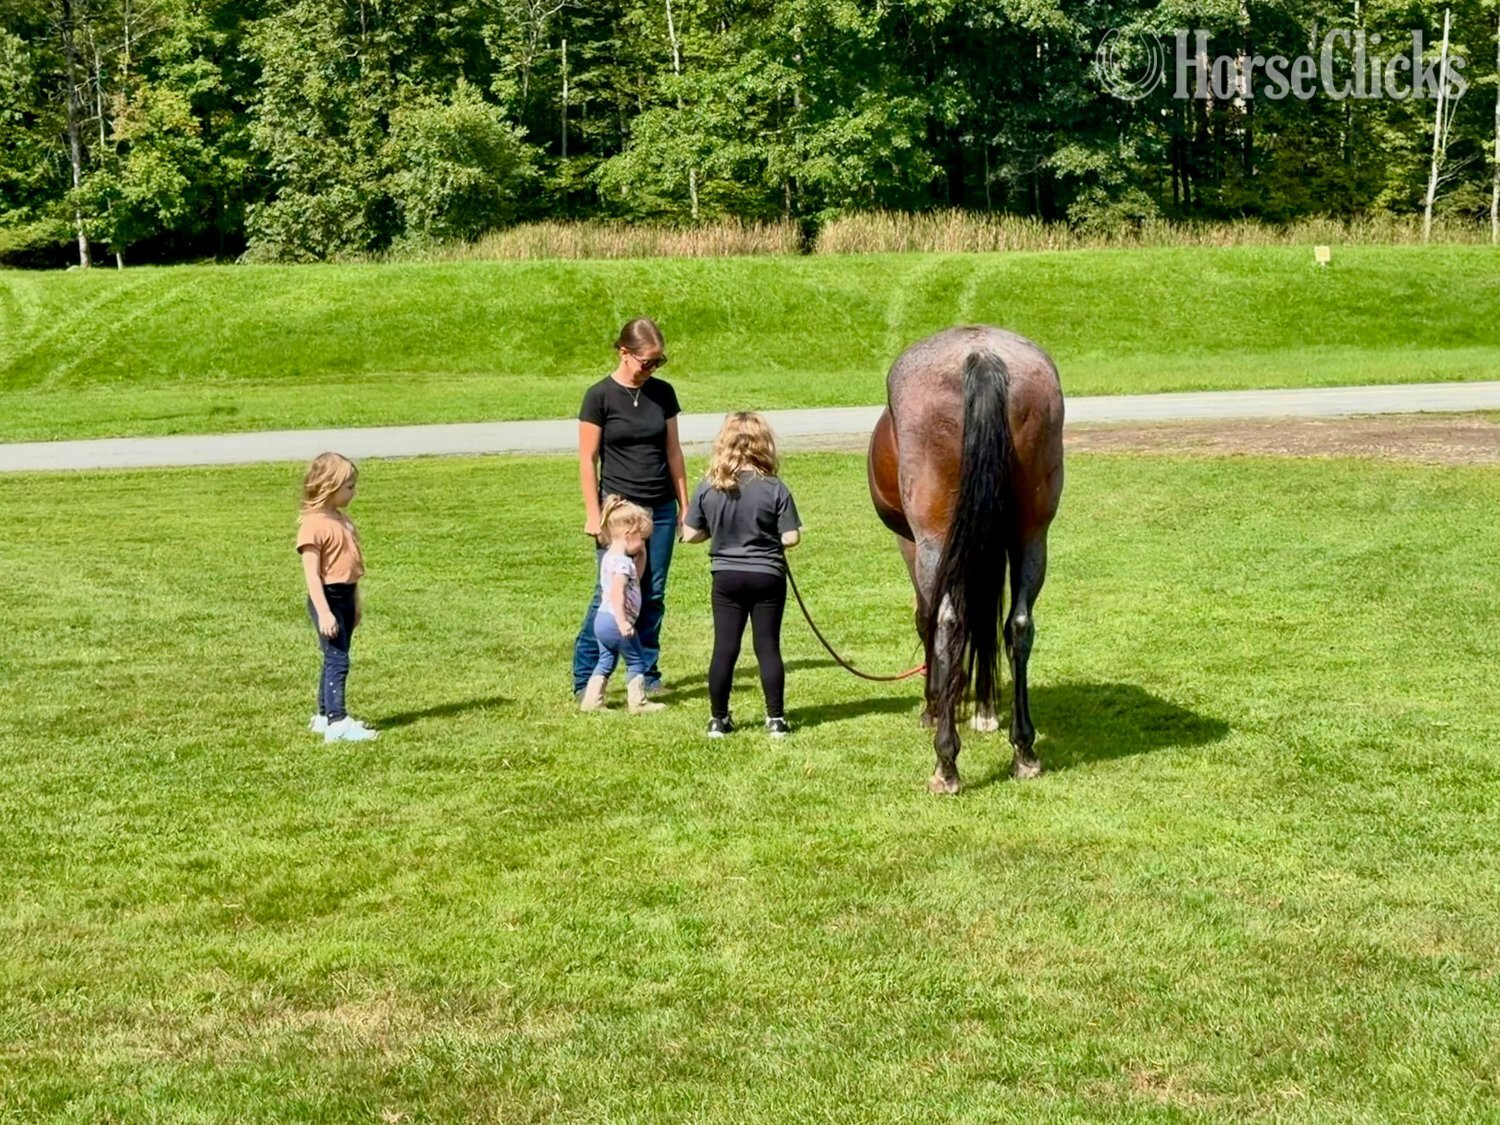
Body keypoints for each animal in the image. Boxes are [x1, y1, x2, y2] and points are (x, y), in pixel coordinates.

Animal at [867, 325, 1065, 794]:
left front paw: (935, 705)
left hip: (933, 538)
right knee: (1018, 625)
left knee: (948, 622)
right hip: (1032, 535)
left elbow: (925, 619)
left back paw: (946, 762)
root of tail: (982, 355)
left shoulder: (910, 543)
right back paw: (1024, 750)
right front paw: (984, 710)